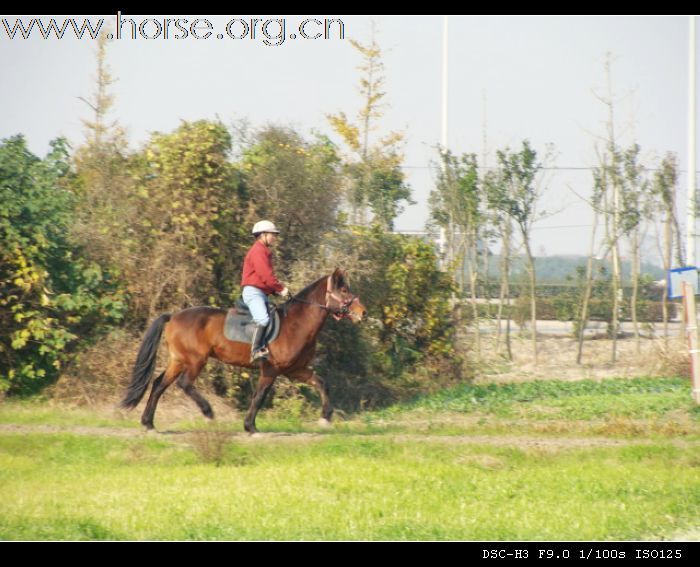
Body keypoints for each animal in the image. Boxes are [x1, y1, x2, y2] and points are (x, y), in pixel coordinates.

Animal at [119, 268, 366, 432]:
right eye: (344, 290)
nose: (362, 313)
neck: (296, 323)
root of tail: (172, 317)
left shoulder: (295, 370)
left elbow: (322, 384)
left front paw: (325, 417)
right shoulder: (271, 370)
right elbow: (259, 396)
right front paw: (250, 427)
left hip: (178, 360)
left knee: (159, 385)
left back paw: (149, 424)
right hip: (195, 360)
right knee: (184, 384)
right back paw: (208, 413)